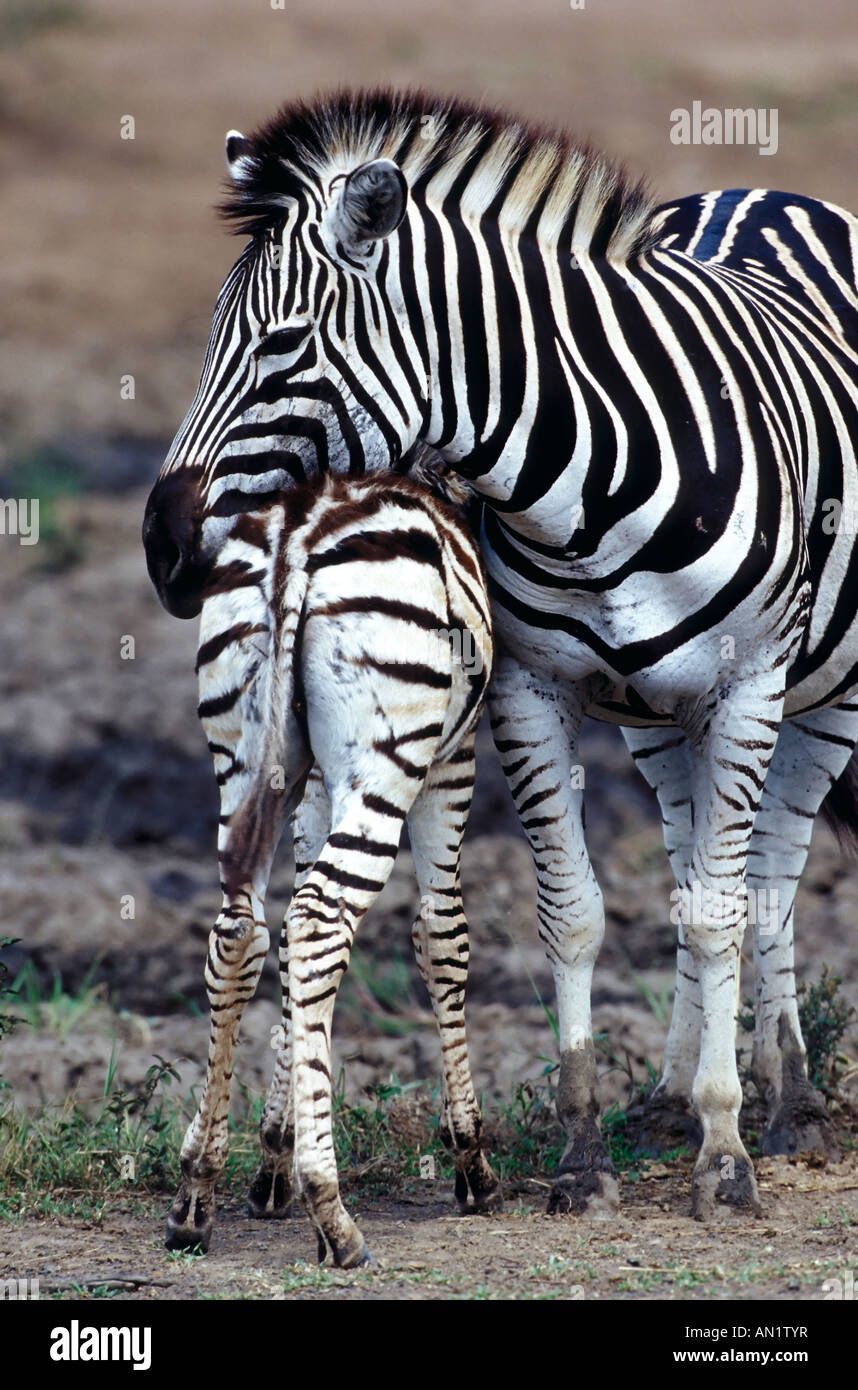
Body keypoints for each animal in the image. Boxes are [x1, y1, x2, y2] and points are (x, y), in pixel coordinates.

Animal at [161, 452, 500, 1264]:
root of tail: (296, 535)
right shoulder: (451, 767)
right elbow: (442, 936)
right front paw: (471, 1161)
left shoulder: (311, 782)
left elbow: (291, 963)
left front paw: (272, 1158)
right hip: (388, 764)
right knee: (317, 921)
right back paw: (333, 1213)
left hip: (241, 759)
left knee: (243, 933)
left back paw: (195, 1192)